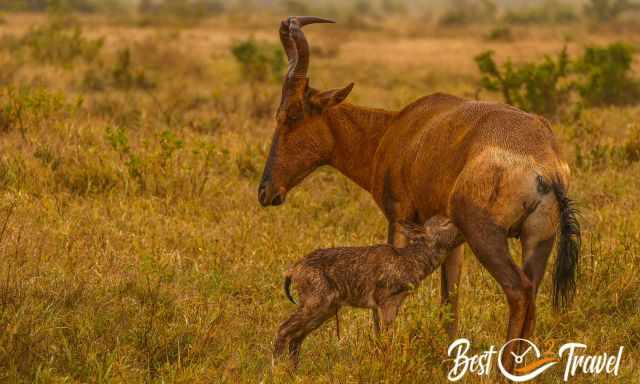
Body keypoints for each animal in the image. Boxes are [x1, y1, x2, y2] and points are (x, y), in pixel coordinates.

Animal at [272, 214, 462, 368]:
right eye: (446, 223)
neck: (411, 264)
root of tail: (292, 271)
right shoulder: (385, 299)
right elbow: (386, 338)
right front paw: (388, 364)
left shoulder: (390, 304)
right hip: (315, 301)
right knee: (283, 329)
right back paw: (277, 371)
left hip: (325, 308)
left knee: (296, 337)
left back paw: (293, 372)